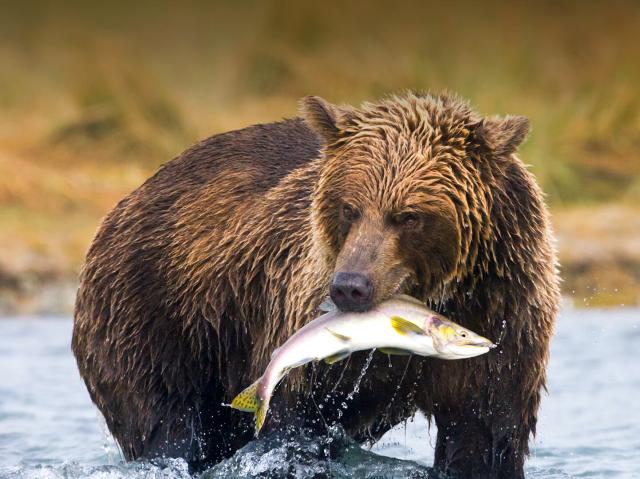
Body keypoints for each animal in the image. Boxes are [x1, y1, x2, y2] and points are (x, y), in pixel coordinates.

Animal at [72, 91, 560, 478]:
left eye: (409, 216)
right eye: (349, 208)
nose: (349, 286)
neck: (442, 292)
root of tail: (130, 197)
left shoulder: (505, 319)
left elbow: (486, 435)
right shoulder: (299, 316)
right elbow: (293, 426)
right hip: (157, 317)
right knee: (168, 427)